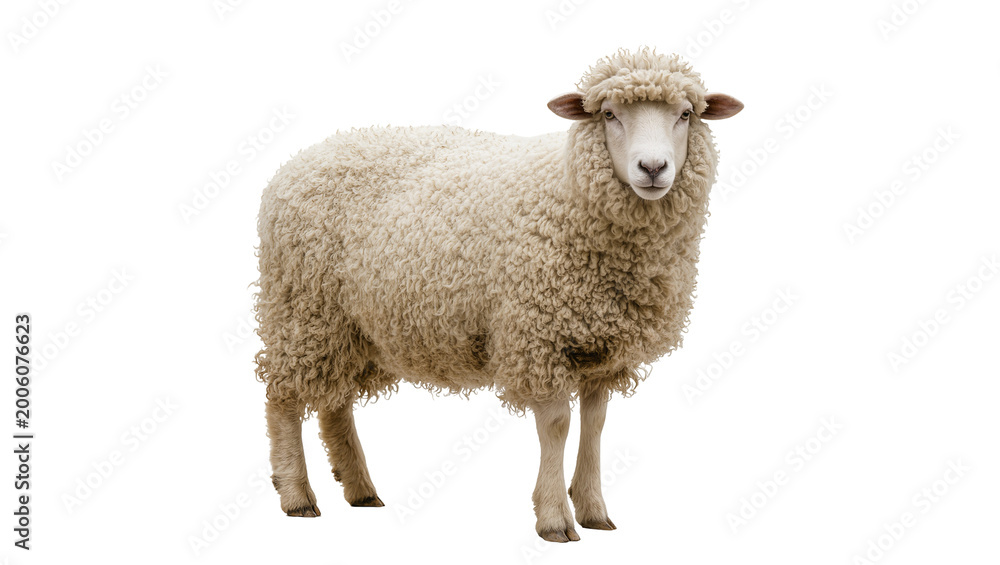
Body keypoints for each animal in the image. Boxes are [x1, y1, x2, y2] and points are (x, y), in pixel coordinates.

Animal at [254, 47, 742, 542]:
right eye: (608, 114)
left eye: (686, 114)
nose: (653, 168)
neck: (567, 193)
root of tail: (298, 161)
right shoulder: (539, 336)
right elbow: (557, 425)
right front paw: (554, 518)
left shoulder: (601, 347)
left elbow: (596, 424)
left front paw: (593, 510)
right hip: (302, 310)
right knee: (283, 399)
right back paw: (296, 495)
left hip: (351, 327)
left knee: (335, 404)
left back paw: (360, 489)